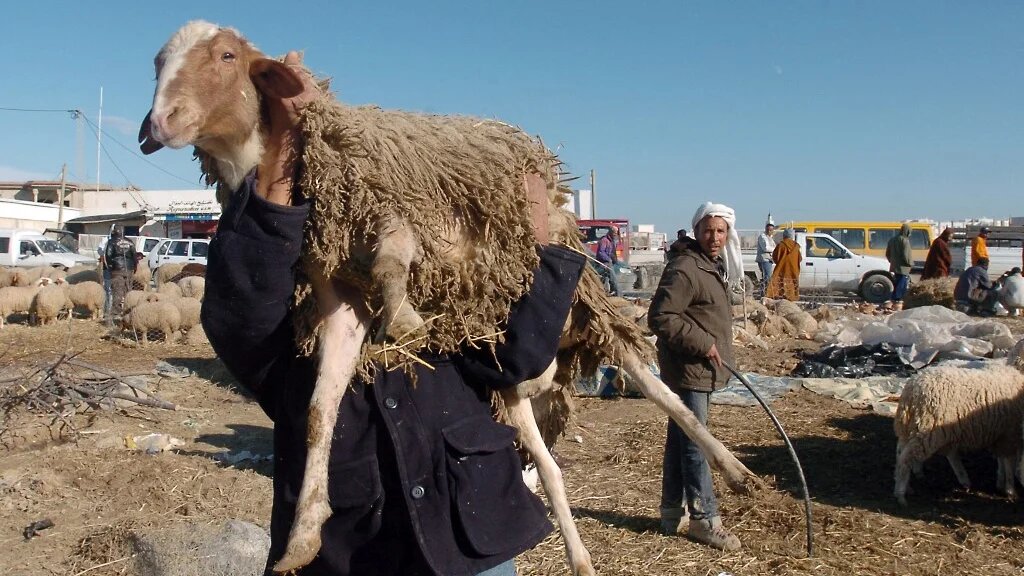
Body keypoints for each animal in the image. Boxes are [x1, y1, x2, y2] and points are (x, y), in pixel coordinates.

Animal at [893, 339, 1024, 506]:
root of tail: (910, 392)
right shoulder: (1010, 431)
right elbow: (1008, 462)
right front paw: (1010, 490)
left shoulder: (1002, 432)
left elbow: (1003, 461)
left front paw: (1001, 483)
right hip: (930, 429)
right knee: (907, 458)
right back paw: (901, 494)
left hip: (915, 428)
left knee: (902, 453)